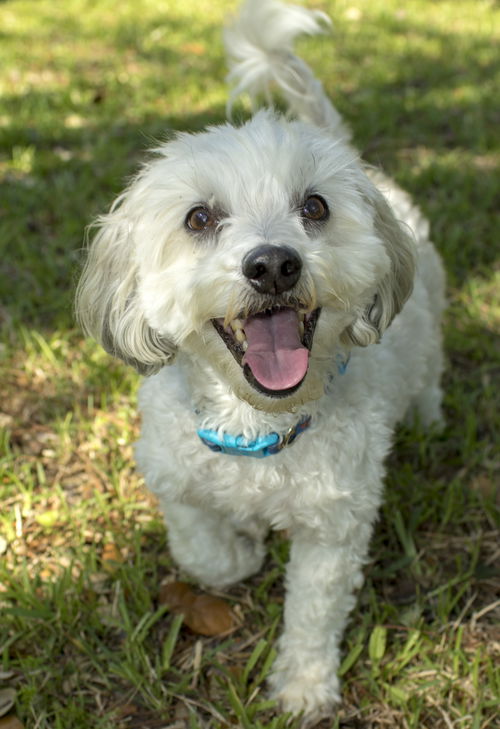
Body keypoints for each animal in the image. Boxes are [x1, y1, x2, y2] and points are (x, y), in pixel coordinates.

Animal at [75, 0, 446, 716]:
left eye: (315, 206)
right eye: (198, 218)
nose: (274, 264)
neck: (257, 423)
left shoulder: (335, 524)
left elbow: (314, 612)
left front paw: (303, 686)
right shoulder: (171, 475)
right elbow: (207, 558)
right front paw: (242, 549)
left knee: (430, 378)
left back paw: (429, 419)